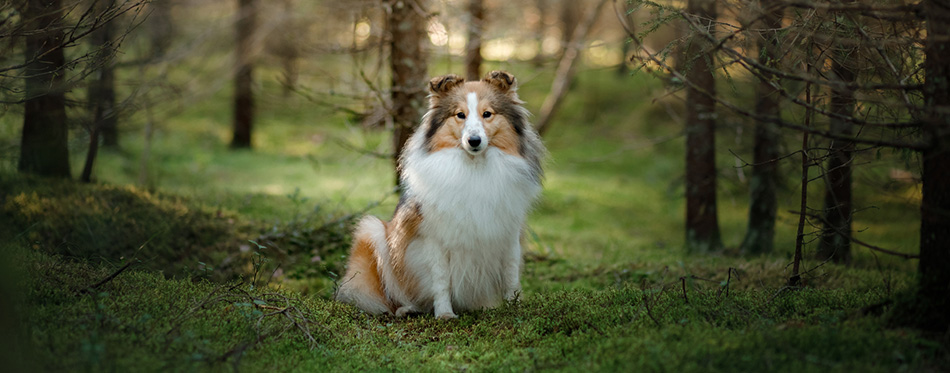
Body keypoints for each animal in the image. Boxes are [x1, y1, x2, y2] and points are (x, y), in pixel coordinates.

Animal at [336, 71, 548, 318]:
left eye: (487, 114)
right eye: (460, 115)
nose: (474, 141)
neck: (474, 168)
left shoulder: (509, 231)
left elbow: (511, 274)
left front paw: (516, 307)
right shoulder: (433, 237)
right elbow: (441, 279)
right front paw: (445, 314)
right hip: (372, 231)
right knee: (388, 297)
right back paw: (406, 308)